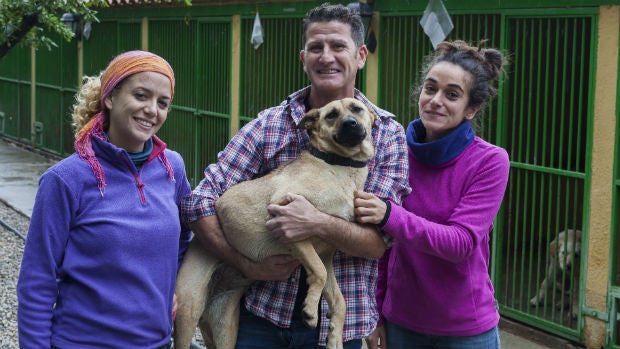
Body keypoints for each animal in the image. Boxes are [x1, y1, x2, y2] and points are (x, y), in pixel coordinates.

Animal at [174, 97, 378, 348]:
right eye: (331, 115)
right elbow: (319, 273)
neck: (340, 166)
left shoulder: (325, 253)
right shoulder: (287, 218)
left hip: (225, 325)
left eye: (356, 109)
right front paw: (310, 310)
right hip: (187, 308)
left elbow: (340, 300)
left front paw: (334, 337)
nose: (350, 123)